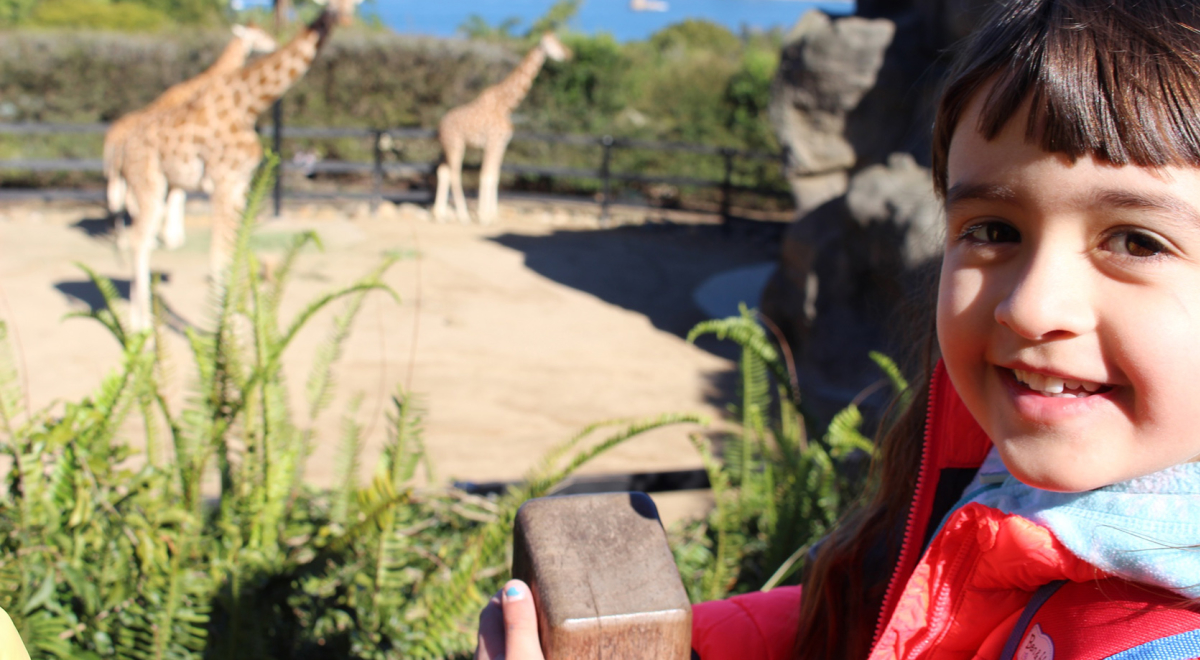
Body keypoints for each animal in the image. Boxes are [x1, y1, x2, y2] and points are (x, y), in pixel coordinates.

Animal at [104, 24, 277, 251]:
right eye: (261, 35)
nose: (274, 43)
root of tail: (111, 138)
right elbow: (179, 196)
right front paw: (173, 238)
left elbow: (177, 195)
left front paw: (172, 237)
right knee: (131, 201)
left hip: (121, 171)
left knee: (121, 201)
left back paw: (127, 241)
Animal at [433, 33, 573, 225]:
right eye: (552, 43)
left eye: (559, 41)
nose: (568, 54)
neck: (507, 105)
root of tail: (440, 125)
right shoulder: (493, 141)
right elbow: (486, 175)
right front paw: (484, 217)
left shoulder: (501, 144)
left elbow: (495, 176)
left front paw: (493, 215)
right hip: (456, 145)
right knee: (455, 174)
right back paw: (464, 216)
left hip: (446, 147)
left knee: (443, 172)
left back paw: (440, 215)